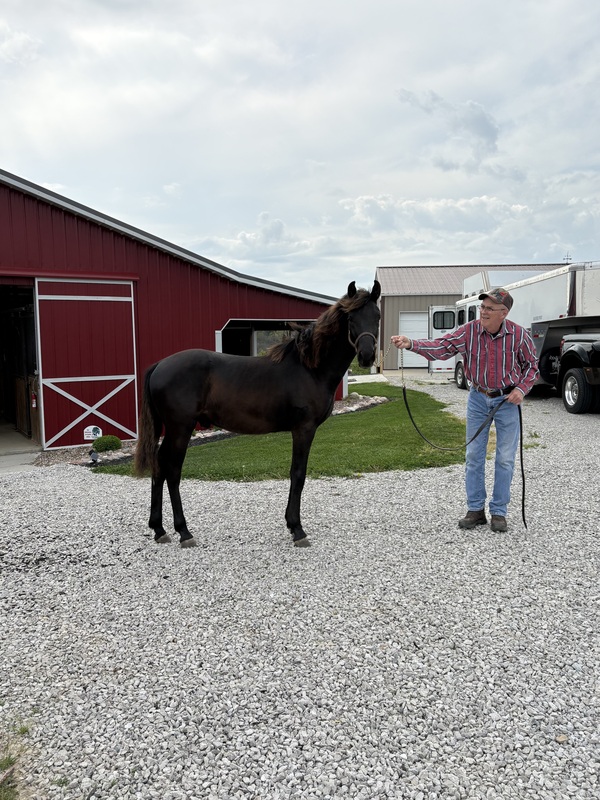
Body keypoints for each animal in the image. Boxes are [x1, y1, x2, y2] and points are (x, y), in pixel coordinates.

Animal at [134, 280, 381, 548]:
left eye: (377, 316)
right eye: (351, 318)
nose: (367, 356)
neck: (310, 368)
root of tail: (160, 365)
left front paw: (291, 524)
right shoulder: (304, 429)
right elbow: (298, 475)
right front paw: (297, 529)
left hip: (170, 429)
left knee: (159, 465)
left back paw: (159, 529)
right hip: (181, 428)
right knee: (172, 471)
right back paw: (184, 531)